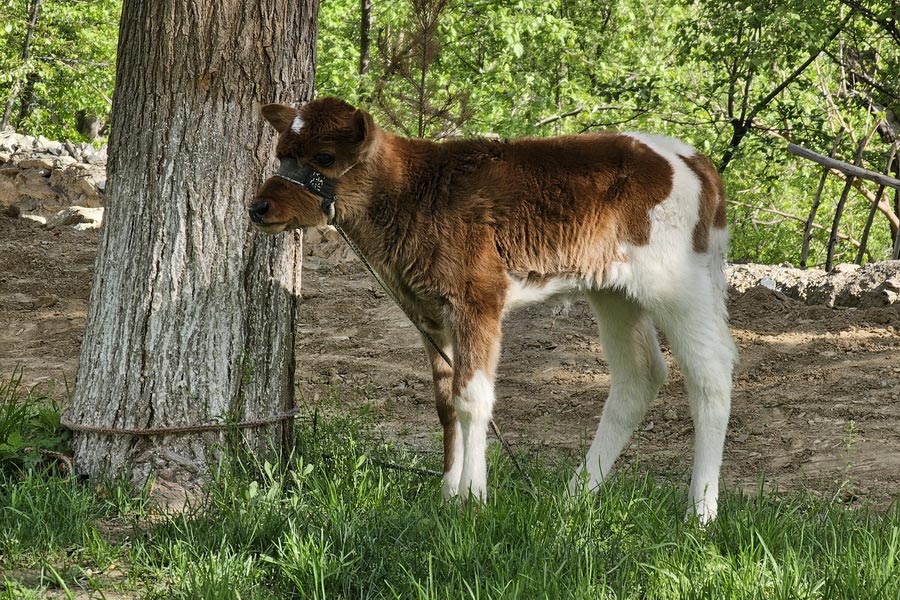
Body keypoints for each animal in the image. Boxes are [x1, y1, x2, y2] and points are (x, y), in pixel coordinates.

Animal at [248, 96, 740, 524]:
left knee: (711, 372)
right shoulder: (430, 312)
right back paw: (574, 497)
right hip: (615, 290)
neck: (413, 193)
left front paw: (474, 498)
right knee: (640, 374)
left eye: (325, 157)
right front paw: (448, 494)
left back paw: (701, 512)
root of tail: (695, 161)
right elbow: (445, 401)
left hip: (678, 280)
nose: (258, 206)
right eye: (280, 154)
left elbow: (472, 398)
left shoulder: (478, 297)